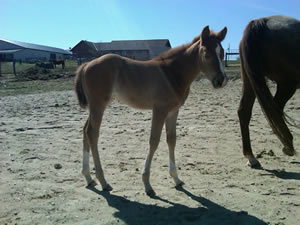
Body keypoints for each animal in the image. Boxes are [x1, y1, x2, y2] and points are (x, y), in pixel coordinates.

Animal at [75, 25, 227, 196]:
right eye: (206, 54)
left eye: (222, 53)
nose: (221, 80)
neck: (172, 73)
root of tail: (86, 65)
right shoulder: (160, 110)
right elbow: (154, 141)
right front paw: (147, 184)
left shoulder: (173, 111)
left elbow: (171, 139)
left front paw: (176, 179)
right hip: (98, 105)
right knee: (92, 133)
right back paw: (103, 181)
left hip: (94, 106)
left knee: (85, 130)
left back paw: (88, 177)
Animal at [238, 15, 298, 168]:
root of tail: (262, 21)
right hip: (287, 83)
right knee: (276, 109)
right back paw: (288, 146)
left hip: (250, 78)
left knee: (244, 111)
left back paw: (251, 156)